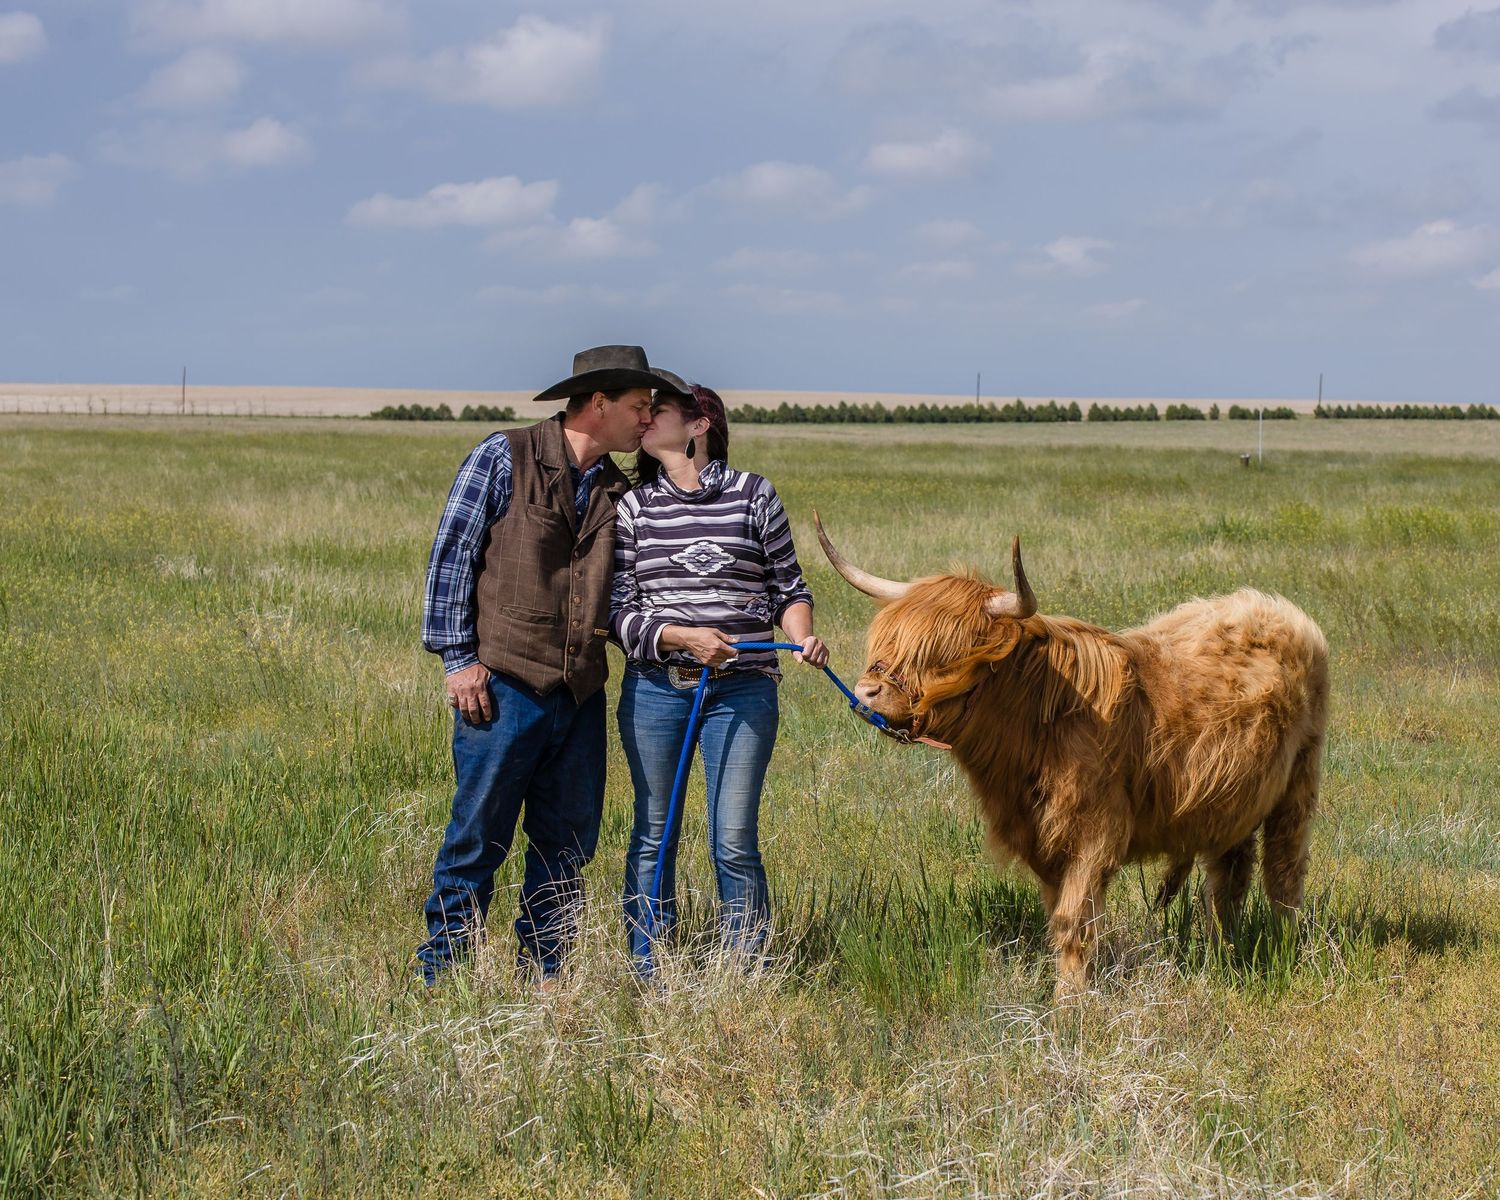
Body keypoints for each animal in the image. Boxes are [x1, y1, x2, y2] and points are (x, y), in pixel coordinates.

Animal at [814, 513, 1329, 999]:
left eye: (946, 655)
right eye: (889, 640)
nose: (867, 691)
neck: (1034, 726)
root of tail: (1272, 606)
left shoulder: (1095, 832)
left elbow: (1072, 920)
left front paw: (1070, 1002)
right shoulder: (1043, 838)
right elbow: (1063, 914)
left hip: (1299, 784)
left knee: (1284, 873)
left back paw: (1282, 951)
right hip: (1233, 803)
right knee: (1228, 878)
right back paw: (1221, 952)